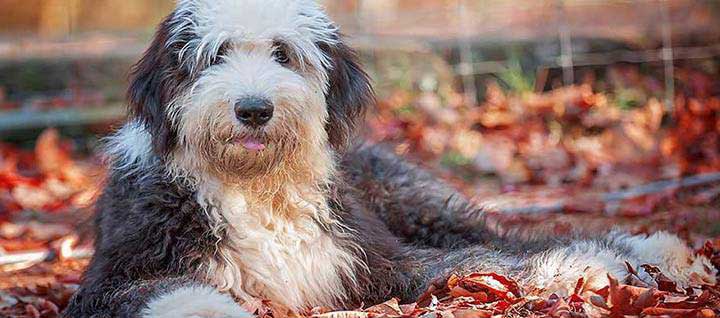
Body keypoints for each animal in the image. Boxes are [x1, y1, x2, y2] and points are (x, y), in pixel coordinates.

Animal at [62, 1, 716, 316]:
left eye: (283, 54)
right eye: (214, 55)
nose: (252, 109)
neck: (256, 189)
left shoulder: (377, 259)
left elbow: (483, 262)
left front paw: (583, 268)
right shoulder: (113, 275)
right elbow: (154, 292)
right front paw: (210, 310)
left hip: (418, 204)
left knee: (507, 236)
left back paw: (654, 250)